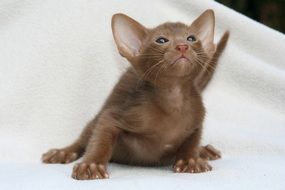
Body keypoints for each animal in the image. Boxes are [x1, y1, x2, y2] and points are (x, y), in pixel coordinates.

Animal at [41, 9, 229, 180]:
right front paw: (92, 164)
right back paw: (62, 152)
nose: (182, 46)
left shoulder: (198, 118)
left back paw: (204, 150)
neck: (173, 97)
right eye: (161, 40)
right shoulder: (117, 114)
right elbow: (101, 139)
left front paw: (191, 159)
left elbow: (192, 140)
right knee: (83, 139)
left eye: (191, 38)